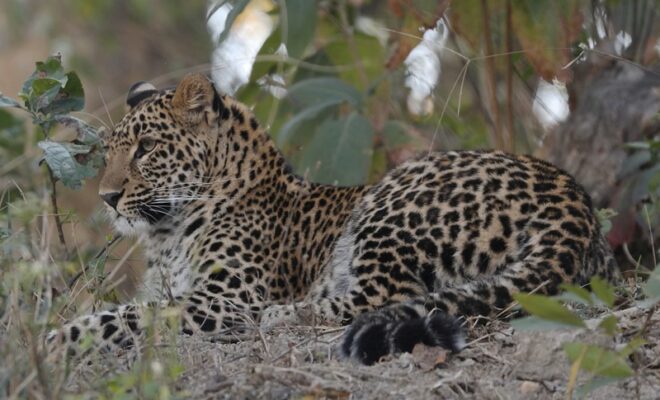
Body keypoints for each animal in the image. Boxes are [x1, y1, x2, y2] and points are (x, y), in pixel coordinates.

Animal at [47, 73, 618, 365]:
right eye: (111, 151)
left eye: (146, 149)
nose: (107, 197)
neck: (168, 233)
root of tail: (574, 201)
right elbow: (128, 309)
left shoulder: (225, 299)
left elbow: (122, 317)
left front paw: (54, 339)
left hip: (392, 202)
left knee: (384, 297)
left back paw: (284, 315)